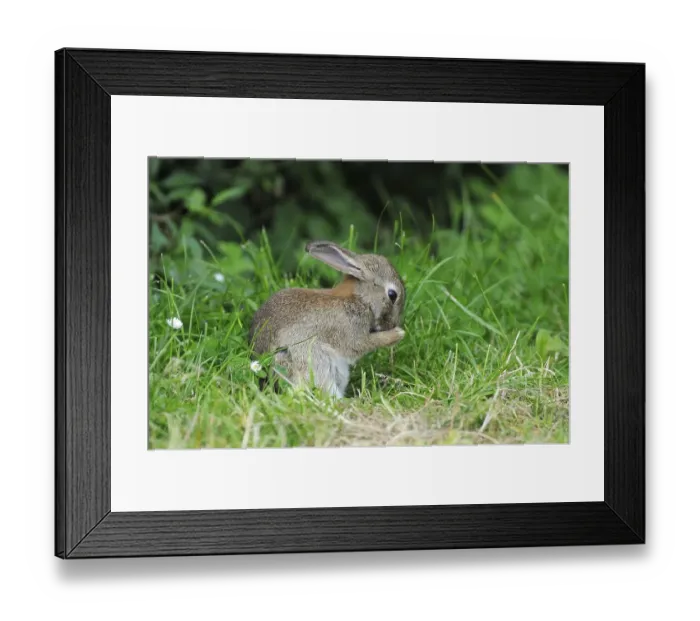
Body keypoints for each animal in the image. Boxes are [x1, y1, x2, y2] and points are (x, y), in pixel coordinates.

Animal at [249, 241, 406, 398]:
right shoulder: (349, 332)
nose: (392, 324)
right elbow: (362, 344)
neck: (360, 299)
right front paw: (398, 334)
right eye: (392, 295)